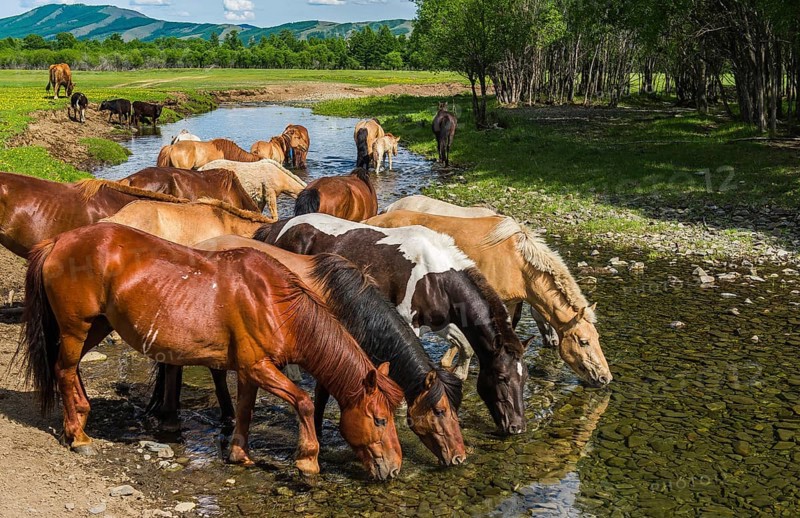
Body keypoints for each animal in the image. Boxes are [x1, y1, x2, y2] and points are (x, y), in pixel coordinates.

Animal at [16, 223, 404, 480]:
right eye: (380, 420)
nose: (395, 469)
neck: (273, 302)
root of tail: (58, 240)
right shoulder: (260, 367)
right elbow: (305, 402)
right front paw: (307, 461)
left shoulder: (250, 371)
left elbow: (245, 411)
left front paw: (239, 454)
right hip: (75, 327)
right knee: (64, 370)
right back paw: (78, 435)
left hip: (95, 326)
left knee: (71, 369)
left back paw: (82, 416)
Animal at [148, 236, 466, 466]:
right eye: (440, 410)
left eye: (454, 411)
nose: (460, 457)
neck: (342, 301)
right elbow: (322, 396)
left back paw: (222, 415)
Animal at [254, 214, 528, 435]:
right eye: (502, 377)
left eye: (523, 379)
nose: (516, 426)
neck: (436, 276)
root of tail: (276, 228)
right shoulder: (408, 321)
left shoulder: (440, 323)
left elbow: (464, 345)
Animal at [365, 211, 613, 387]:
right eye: (583, 341)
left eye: (597, 337)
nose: (605, 377)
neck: (517, 262)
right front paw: (452, 364)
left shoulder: (510, 303)